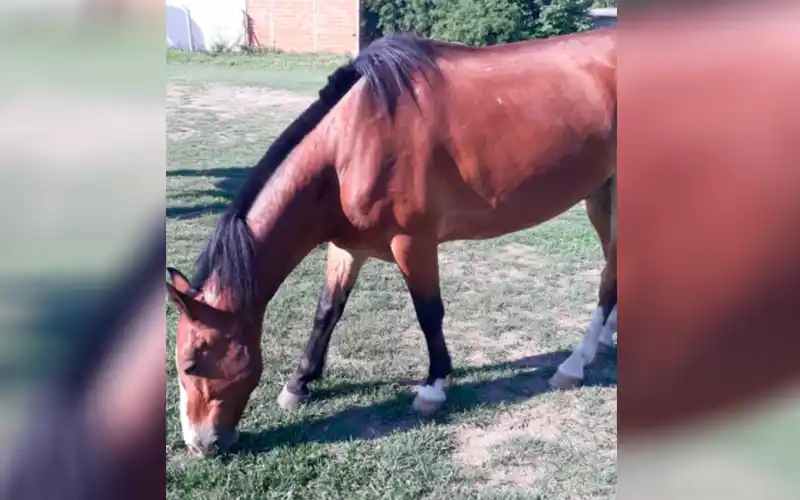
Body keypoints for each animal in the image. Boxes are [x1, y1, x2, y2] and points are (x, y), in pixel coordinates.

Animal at [166, 28, 617, 457]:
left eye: (191, 364)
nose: (200, 444)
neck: (351, 144)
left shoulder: (413, 243)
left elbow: (428, 313)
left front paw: (433, 387)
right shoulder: (347, 247)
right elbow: (327, 310)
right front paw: (299, 382)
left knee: (609, 279)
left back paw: (574, 364)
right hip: (600, 195)